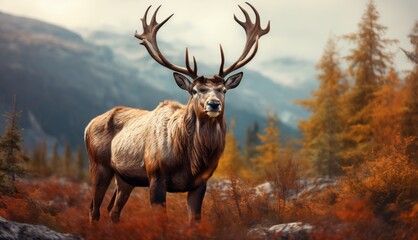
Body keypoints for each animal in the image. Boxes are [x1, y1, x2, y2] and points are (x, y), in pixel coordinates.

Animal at [84, 1, 272, 224]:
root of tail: (88, 124)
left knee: (113, 210)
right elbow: (161, 222)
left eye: (224, 90)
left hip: (125, 178)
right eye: (195, 90)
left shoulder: (200, 183)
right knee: (94, 208)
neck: (190, 161)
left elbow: (194, 221)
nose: (214, 104)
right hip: (99, 165)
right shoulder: (155, 175)